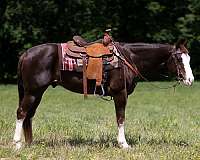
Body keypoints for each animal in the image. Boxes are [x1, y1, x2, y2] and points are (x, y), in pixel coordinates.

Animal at [12, 38, 194, 149]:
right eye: (179, 59)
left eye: (189, 58)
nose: (190, 80)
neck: (129, 58)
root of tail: (25, 54)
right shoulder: (121, 93)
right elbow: (121, 118)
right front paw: (123, 144)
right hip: (32, 92)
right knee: (22, 113)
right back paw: (17, 144)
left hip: (37, 92)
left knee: (29, 115)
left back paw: (29, 143)